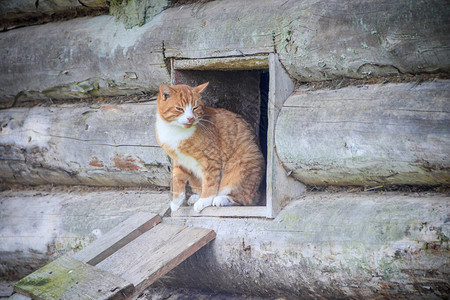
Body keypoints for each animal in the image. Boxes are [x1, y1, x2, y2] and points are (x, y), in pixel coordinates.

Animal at [156, 82, 266, 212]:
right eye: (179, 108)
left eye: (195, 108)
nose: (190, 118)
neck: (175, 130)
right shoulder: (179, 161)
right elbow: (177, 180)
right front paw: (176, 202)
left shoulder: (210, 159)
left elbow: (210, 182)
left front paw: (204, 200)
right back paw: (196, 197)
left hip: (241, 167)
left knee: (243, 198)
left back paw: (220, 199)